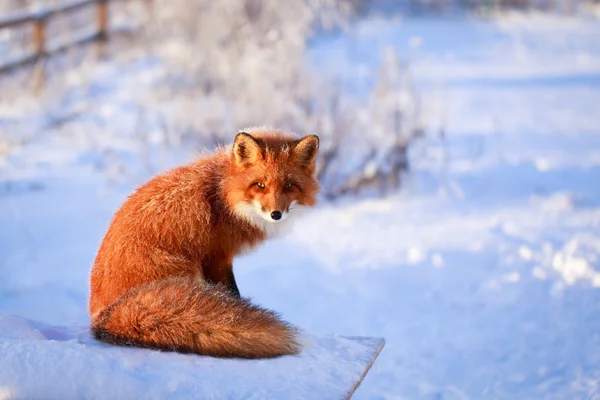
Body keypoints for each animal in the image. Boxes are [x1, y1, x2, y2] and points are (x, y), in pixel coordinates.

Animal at [88, 129, 318, 360]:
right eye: (260, 185)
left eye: (289, 186)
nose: (276, 214)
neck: (222, 194)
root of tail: (102, 316)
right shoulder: (216, 256)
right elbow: (232, 293)